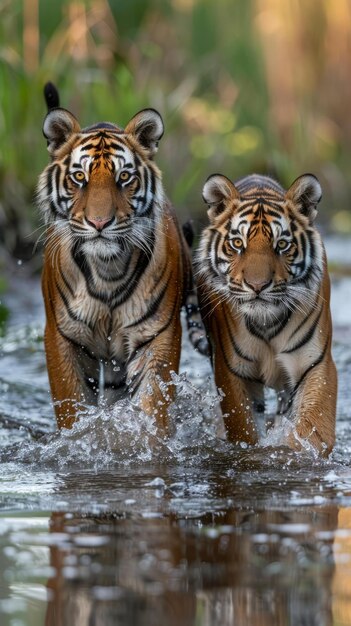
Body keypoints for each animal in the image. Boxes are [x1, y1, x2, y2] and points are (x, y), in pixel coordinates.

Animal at [36, 84, 206, 434]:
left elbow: (152, 405)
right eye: (79, 177)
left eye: (124, 177)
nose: (99, 222)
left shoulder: (157, 336)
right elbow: (72, 408)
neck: (107, 270)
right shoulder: (61, 338)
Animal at [195, 171, 338, 454]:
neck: (267, 321)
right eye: (237, 243)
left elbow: (313, 427)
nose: (257, 285)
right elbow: (243, 428)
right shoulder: (234, 372)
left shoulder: (316, 364)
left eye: (281, 244)